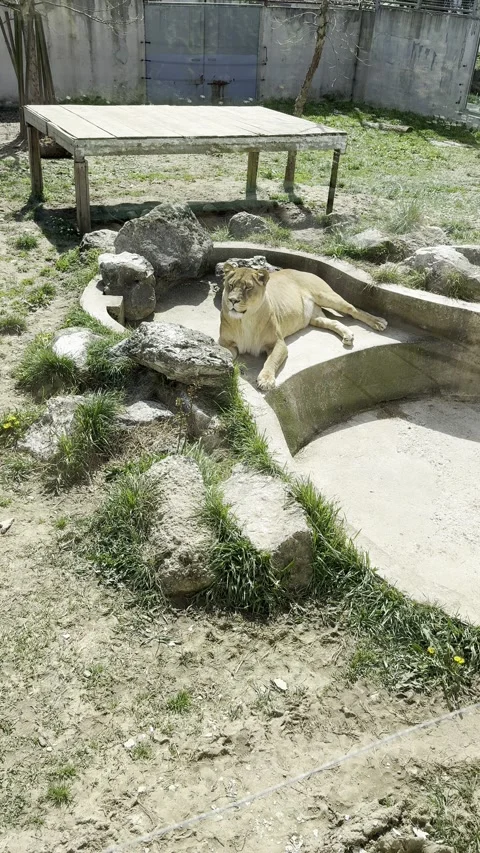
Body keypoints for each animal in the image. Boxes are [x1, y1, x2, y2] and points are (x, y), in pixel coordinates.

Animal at [219, 263, 388, 391]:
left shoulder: (278, 343)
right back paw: (348, 335)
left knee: (353, 309)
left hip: (327, 296)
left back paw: (378, 322)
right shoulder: (225, 343)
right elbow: (225, 352)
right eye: (231, 285)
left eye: (248, 288)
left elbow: (270, 361)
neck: (245, 319)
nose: (232, 300)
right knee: (333, 322)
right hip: (315, 318)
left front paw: (266, 380)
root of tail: (302, 271)